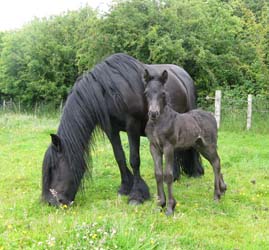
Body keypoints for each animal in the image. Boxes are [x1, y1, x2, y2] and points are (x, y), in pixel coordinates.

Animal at [41, 53, 203, 207]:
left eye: (53, 168)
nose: (50, 202)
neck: (109, 91)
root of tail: (183, 75)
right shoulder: (111, 130)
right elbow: (119, 157)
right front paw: (125, 188)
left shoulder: (132, 126)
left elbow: (134, 159)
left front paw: (137, 195)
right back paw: (175, 176)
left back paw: (196, 172)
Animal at [143, 69, 225, 216]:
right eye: (146, 93)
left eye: (163, 93)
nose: (153, 113)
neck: (158, 123)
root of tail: (211, 116)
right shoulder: (154, 147)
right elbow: (158, 174)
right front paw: (160, 205)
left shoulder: (168, 147)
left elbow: (168, 175)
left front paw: (170, 207)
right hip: (200, 146)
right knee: (215, 162)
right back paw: (221, 191)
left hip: (209, 145)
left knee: (216, 163)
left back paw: (216, 195)